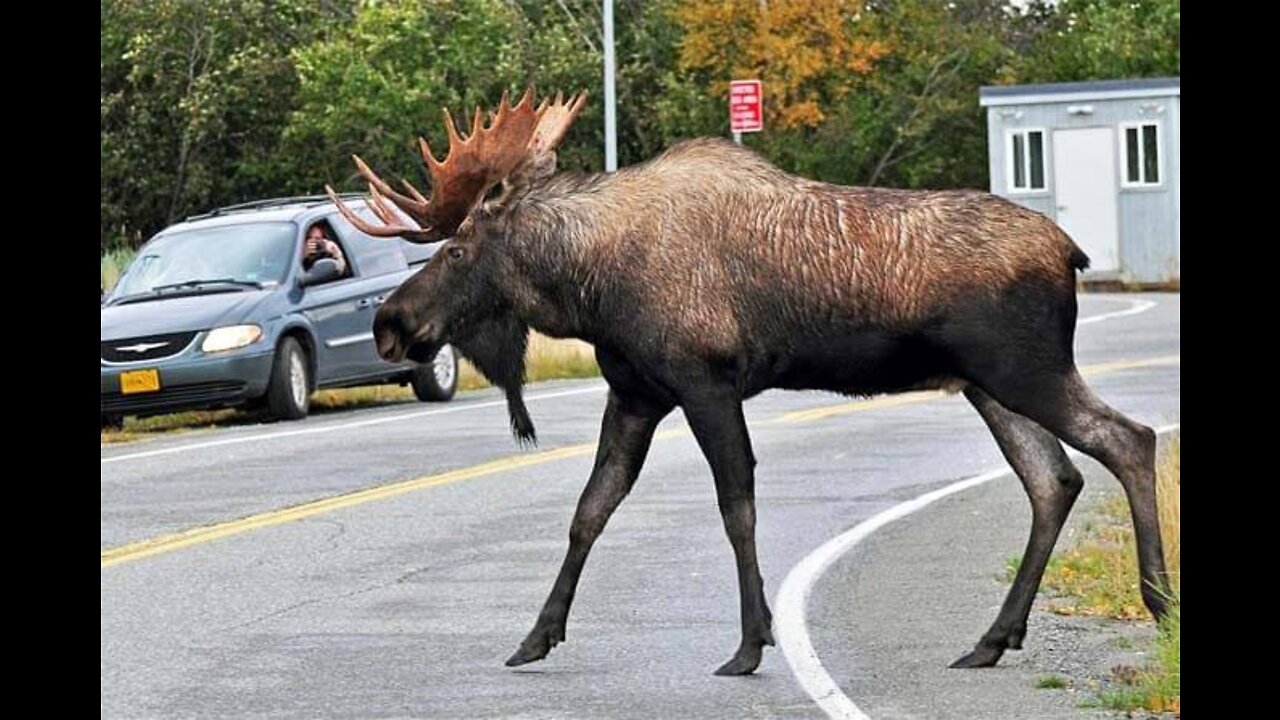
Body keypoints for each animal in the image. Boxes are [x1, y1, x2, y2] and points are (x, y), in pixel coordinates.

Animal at [330, 88, 1172, 671]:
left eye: (457, 249)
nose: (390, 323)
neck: (588, 289)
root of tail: (1071, 252)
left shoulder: (705, 381)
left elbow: (736, 505)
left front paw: (748, 643)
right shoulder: (636, 393)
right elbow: (589, 511)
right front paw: (536, 637)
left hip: (1025, 368)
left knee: (1128, 439)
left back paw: (1157, 603)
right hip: (986, 385)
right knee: (1054, 479)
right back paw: (993, 638)